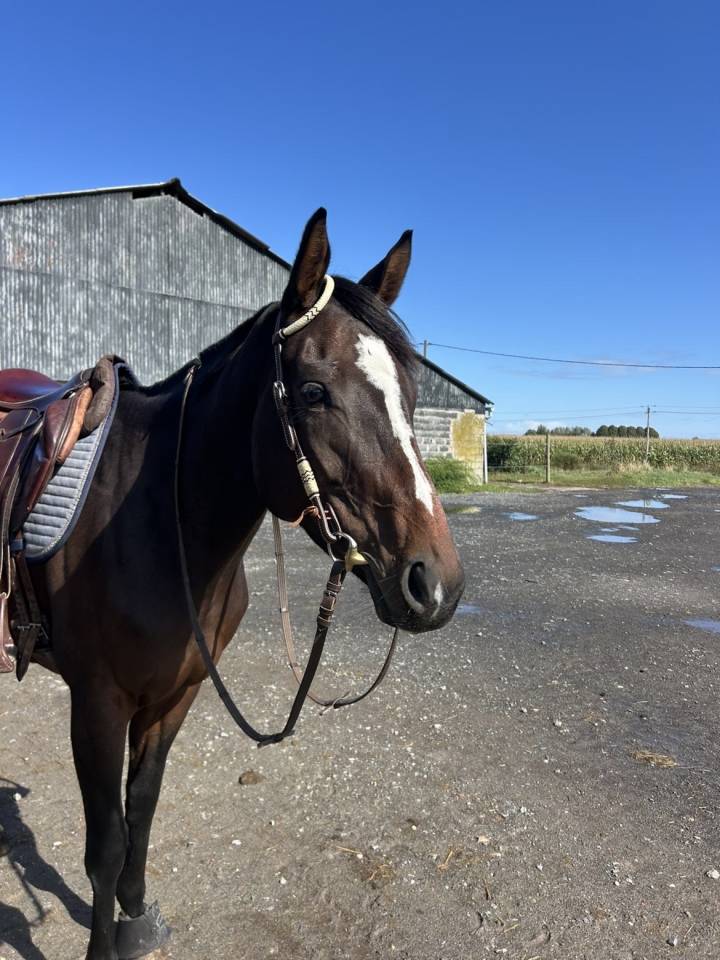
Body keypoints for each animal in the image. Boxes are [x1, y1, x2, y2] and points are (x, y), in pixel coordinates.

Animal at [26, 208, 465, 959]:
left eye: (411, 396)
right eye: (314, 392)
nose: (435, 584)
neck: (157, 521)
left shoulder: (176, 696)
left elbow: (142, 808)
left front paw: (137, 918)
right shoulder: (97, 702)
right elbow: (104, 844)